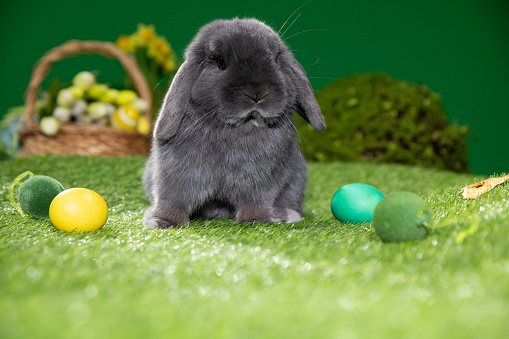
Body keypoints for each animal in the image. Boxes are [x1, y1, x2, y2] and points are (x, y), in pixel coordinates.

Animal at [143, 17, 326, 228]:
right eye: (221, 62)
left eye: (274, 59)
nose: (257, 93)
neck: (238, 128)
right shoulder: (177, 174)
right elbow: (173, 198)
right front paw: (164, 222)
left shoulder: (261, 181)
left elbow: (256, 201)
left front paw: (257, 220)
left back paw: (284, 215)